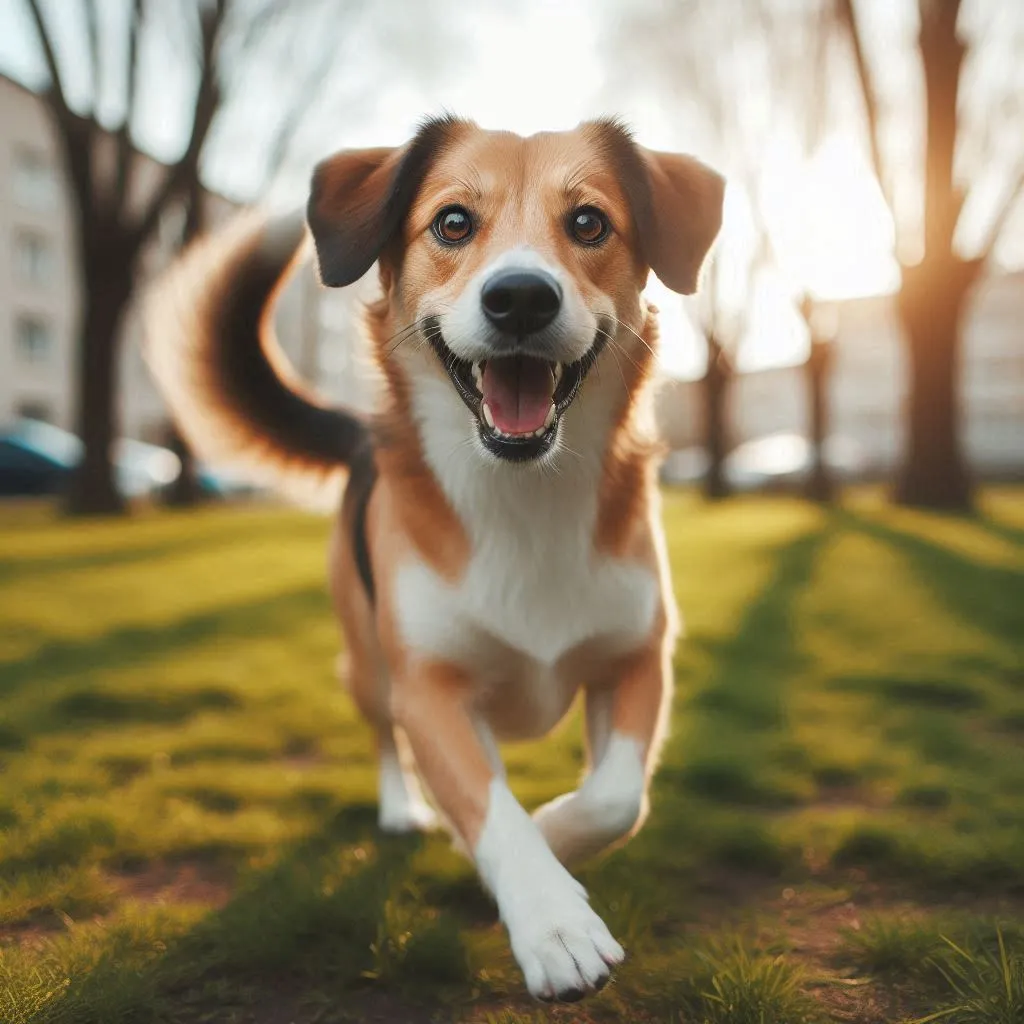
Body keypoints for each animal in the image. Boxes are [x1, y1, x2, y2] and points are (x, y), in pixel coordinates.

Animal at [144, 117, 724, 999]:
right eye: (452, 222)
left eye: (589, 223)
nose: (520, 297)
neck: (522, 494)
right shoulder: (430, 689)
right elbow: (488, 805)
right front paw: (553, 923)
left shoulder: (635, 659)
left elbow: (616, 798)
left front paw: (555, 833)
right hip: (367, 661)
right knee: (387, 737)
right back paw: (403, 810)